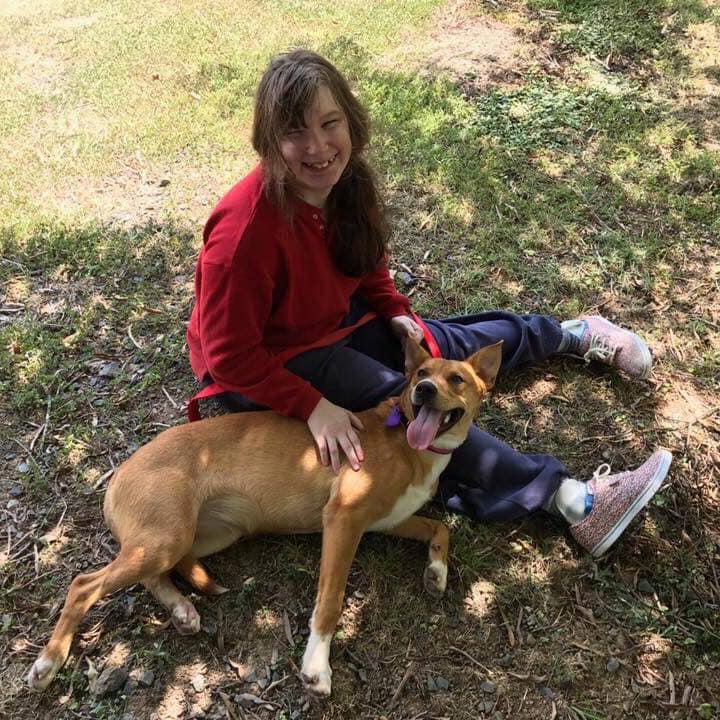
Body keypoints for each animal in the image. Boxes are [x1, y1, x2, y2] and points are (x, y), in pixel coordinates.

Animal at [28, 338, 502, 697]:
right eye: (420, 375)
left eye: (456, 379)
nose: (425, 391)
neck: (407, 440)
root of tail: (118, 475)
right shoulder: (343, 519)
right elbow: (330, 602)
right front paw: (316, 667)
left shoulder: (386, 520)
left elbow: (439, 528)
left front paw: (437, 572)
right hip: (167, 536)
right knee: (84, 584)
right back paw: (48, 662)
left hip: (198, 536)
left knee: (155, 575)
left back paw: (182, 609)